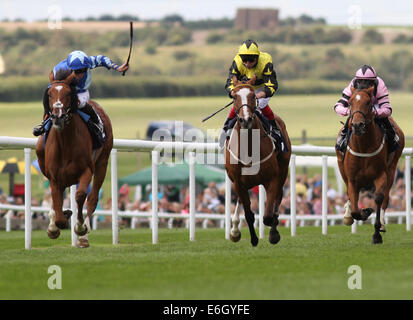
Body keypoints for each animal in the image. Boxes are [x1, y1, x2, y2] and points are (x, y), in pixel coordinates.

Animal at [35, 72, 112, 248]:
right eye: (50, 94)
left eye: (68, 94)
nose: (57, 115)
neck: (65, 144)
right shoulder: (54, 177)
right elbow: (57, 208)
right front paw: (55, 225)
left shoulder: (86, 170)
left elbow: (80, 195)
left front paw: (80, 227)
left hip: (103, 163)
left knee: (92, 198)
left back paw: (84, 235)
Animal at [225, 78, 290, 248]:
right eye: (234, 97)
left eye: (253, 96)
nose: (246, 120)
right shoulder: (238, 182)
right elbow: (248, 214)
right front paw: (252, 239)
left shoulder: (272, 179)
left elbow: (268, 215)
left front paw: (273, 234)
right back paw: (234, 230)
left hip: (283, 170)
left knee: (278, 197)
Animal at [338, 86, 402, 244]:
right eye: (350, 102)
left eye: (368, 102)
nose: (357, 125)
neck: (364, 147)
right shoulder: (352, 179)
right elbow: (355, 208)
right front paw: (364, 211)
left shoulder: (381, 175)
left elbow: (378, 198)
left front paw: (377, 234)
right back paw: (348, 215)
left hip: (392, 170)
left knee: (385, 197)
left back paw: (383, 225)